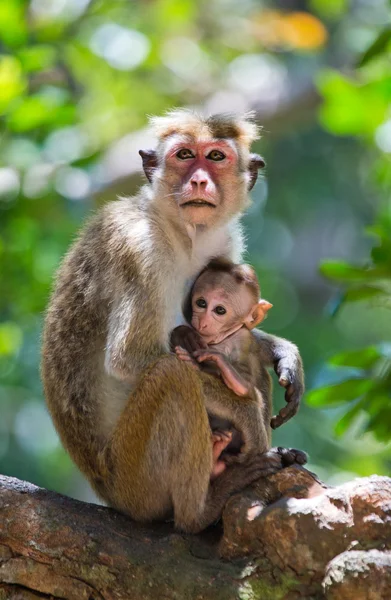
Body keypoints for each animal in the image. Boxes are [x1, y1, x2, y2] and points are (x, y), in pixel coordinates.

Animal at [175, 258, 276, 478]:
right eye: (201, 303)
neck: (222, 339)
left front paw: (216, 362)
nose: (203, 322)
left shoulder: (243, 342)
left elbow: (250, 391)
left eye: (220, 310)